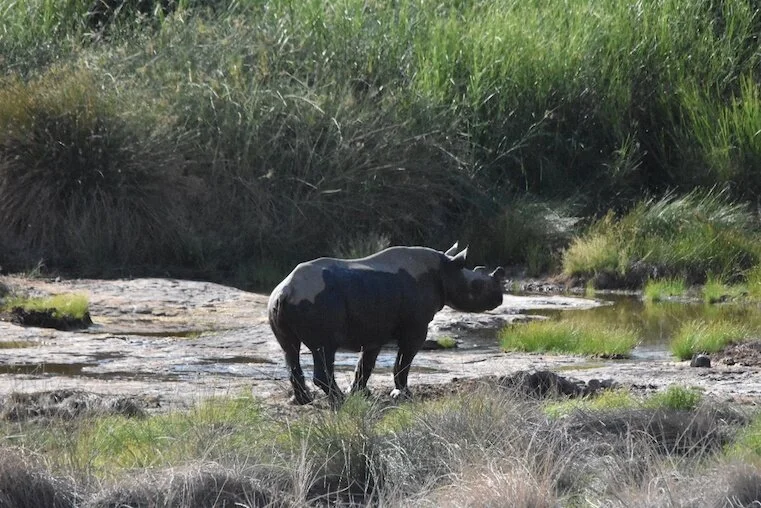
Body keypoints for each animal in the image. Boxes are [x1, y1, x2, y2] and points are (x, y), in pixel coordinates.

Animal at [267, 243, 504, 406]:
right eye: (477, 285)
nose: (499, 299)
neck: (446, 270)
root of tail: (285, 292)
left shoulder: (374, 330)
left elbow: (365, 365)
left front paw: (360, 393)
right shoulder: (416, 327)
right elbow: (403, 361)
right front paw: (403, 394)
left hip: (280, 303)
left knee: (289, 349)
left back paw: (304, 401)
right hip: (317, 301)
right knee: (325, 348)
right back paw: (339, 401)